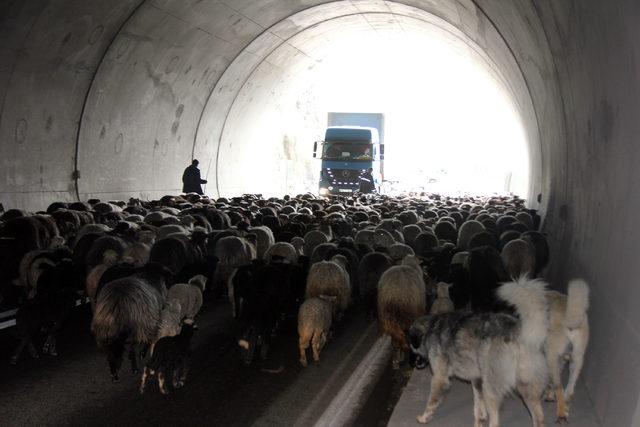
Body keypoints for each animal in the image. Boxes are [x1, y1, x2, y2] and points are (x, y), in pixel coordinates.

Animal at [410, 276, 552, 426]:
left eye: (411, 345)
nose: (411, 363)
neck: (431, 328)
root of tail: (518, 331)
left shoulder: (440, 378)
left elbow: (431, 402)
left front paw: (424, 417)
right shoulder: (477, 379)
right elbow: (479, 405)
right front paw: (480, 419)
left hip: (491, 387)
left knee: (495, 418)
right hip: (527, 386)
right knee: (539, 417)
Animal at [544, 280, 588, 422]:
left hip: (552, 357)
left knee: (559, 386)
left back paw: (561, 414)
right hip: (577, 360)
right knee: (569, 388)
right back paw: (565, 405)